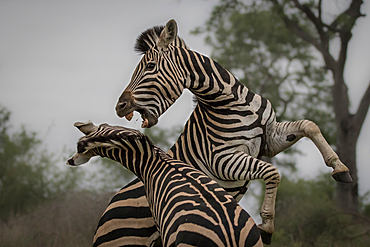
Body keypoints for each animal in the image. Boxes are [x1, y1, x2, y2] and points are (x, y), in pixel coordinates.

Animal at [97, 18, 352, 245]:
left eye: (150, 67)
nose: (120, 107)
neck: (232, 101)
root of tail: (107, 209)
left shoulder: (270, 139)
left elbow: (309, 125)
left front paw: (340, 168)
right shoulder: (220, 159)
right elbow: (272, 172)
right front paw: (267, 227)